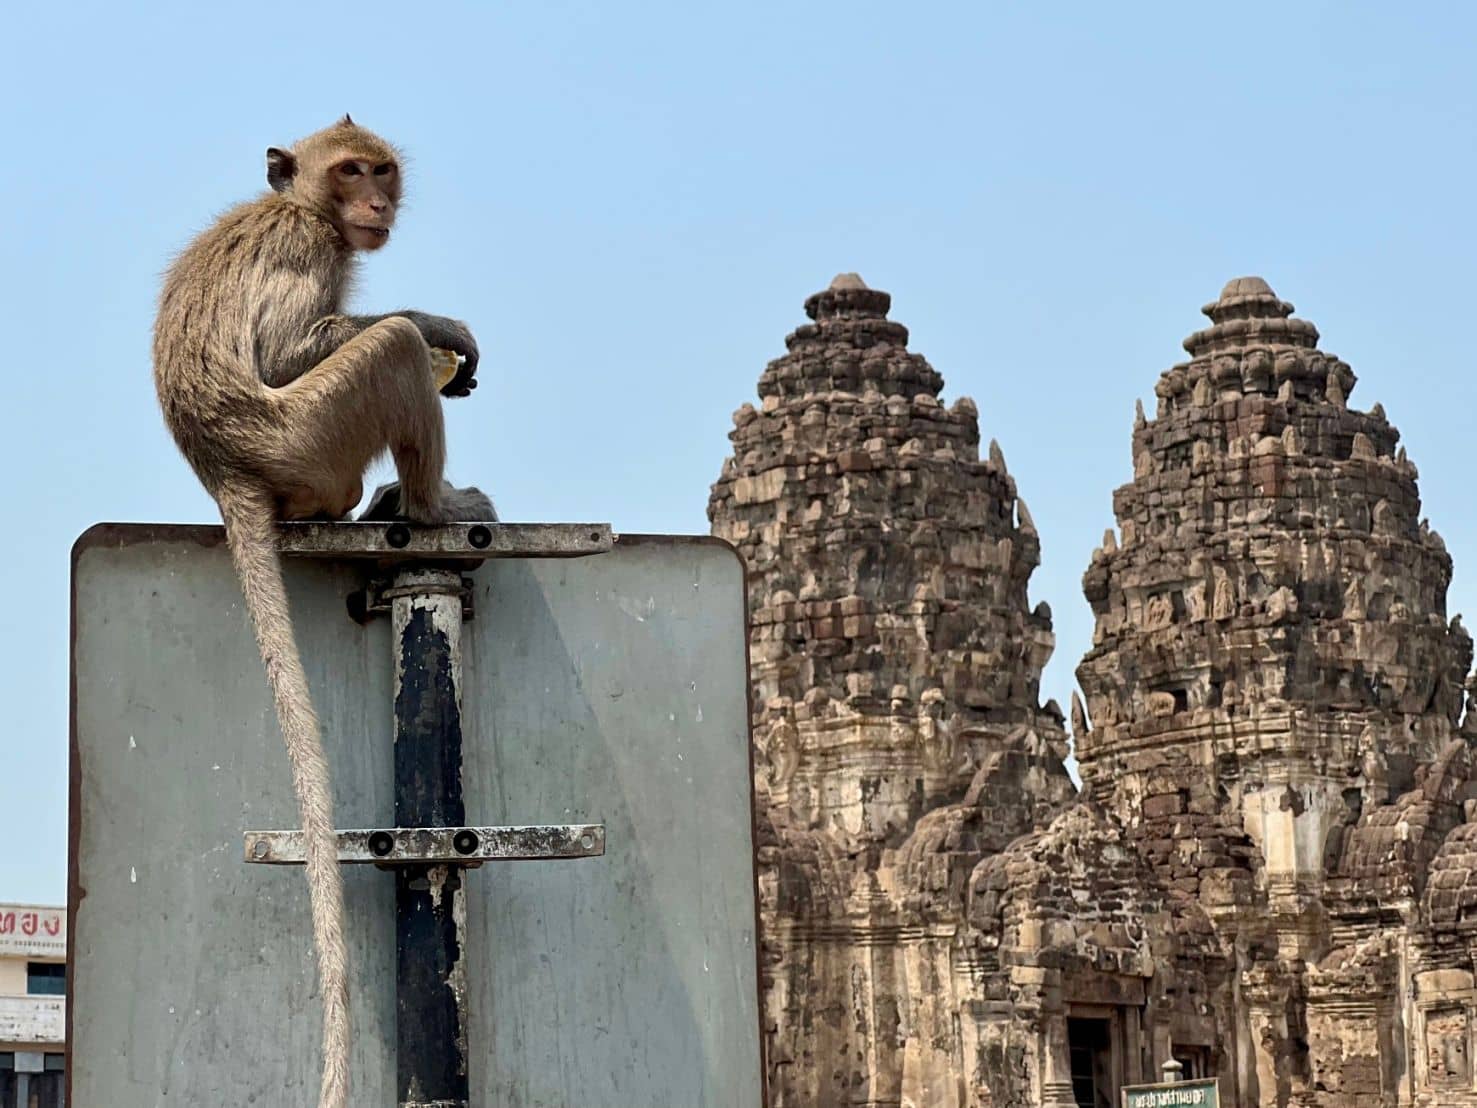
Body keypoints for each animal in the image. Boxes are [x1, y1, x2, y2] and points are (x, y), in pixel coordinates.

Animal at [152, 115, 493, 1108]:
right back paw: (432, 504)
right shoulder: (305, 250)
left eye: (381, 171)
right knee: (384, 356)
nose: (376, 201)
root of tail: (227, 471)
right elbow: (290, 351)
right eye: (349, 174)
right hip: (307, 437)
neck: (302, 207)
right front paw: (436, 325)